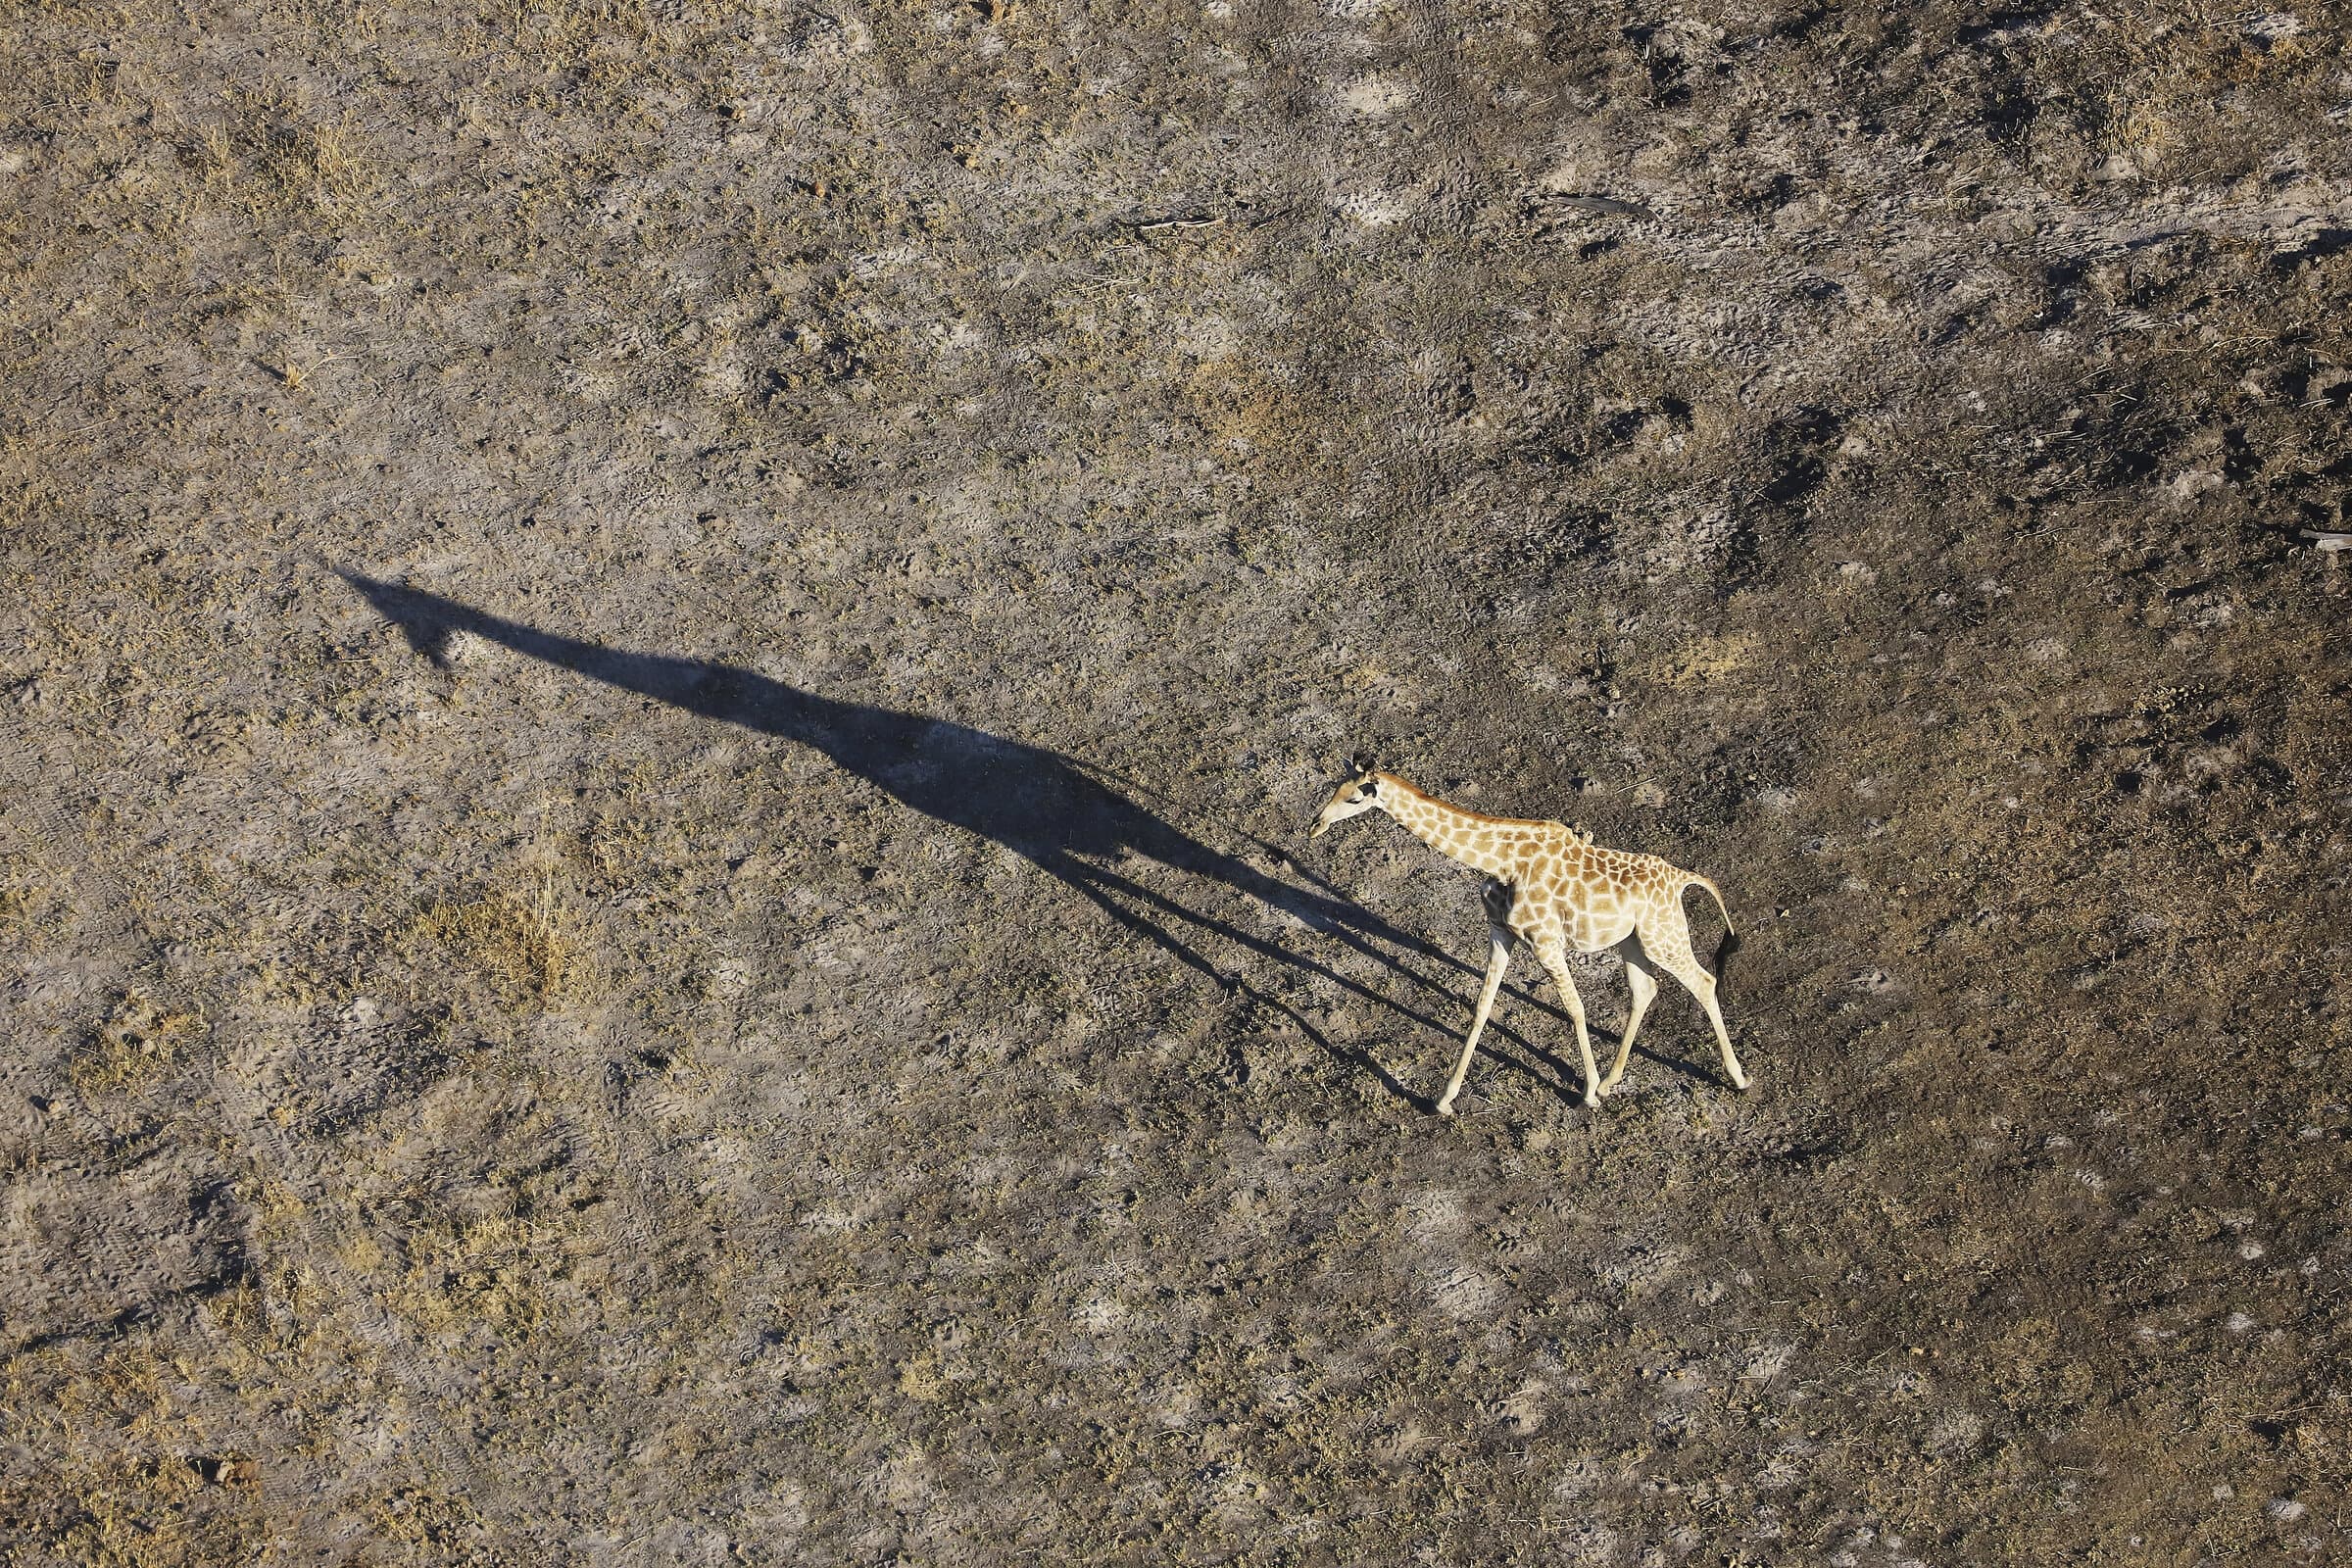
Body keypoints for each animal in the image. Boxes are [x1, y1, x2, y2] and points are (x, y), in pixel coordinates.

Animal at [1311, 754, 1746, 1114]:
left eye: (1355, 799)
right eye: (1335, 787)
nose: (1315, 825)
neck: (1503, 861)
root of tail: (1682, 880)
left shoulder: (1546, 942)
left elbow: (1575, 1008)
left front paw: (1586, 1093)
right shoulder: (1500, 932)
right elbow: (1482, 1007)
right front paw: (1445, 1098)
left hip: (1663, 938)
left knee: (1704, 981)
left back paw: (1738, 1077)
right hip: (1633, 940)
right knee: (1645, 989)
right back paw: (1611, 1080)